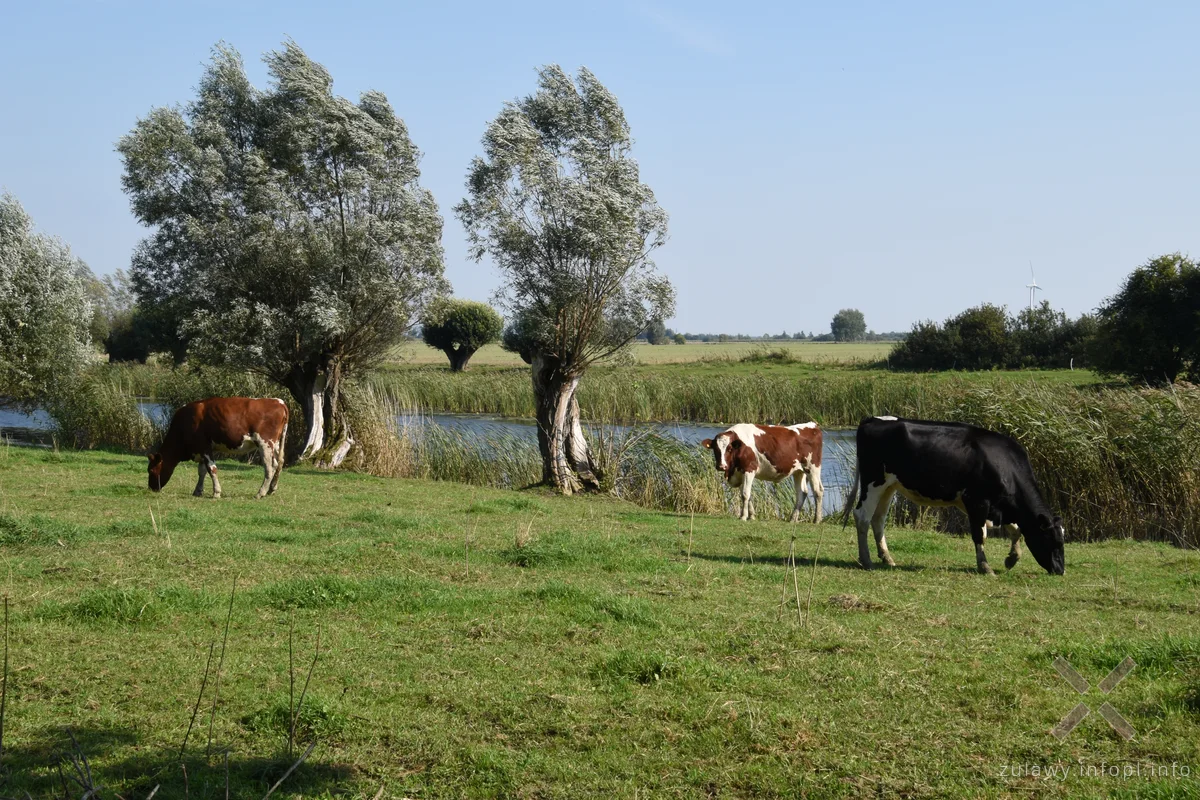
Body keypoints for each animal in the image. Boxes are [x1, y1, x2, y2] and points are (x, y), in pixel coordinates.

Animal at [148, 395, 289, 496]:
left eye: (151, 470)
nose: (151, 488)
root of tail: (279, 402)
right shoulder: (203, 449)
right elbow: (202, 471)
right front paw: (198, 491)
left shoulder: (204, 447)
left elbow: (212, 469)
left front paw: (216, 492)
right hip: (275, 445)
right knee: (278, 464)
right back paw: (272, 489)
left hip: (265, 444)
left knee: (269, 468)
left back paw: (261, 492)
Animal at [844, 419, 1070, 575]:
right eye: (1053, 540)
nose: (1060, 570)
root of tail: (872, 419)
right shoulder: (977, 501)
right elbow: (980, 535)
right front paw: (985, 566)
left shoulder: (999, 507)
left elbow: (1016, 530)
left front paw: (1012, 559)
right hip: (873, 482)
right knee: (862, 517)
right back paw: (866, 561)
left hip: (889, 486)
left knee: (878, 519)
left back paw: (887, 558)